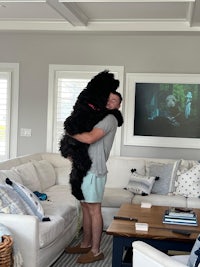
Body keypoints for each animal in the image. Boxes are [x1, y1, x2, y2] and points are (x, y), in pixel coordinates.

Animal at [59, 71, 122, 201]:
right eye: (111, 79)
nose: (118, 81)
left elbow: (106, 111)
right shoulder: (77, 122)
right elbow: (108, 111)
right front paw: (120, 117)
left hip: (79, 163)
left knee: (74, 177)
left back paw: (78, 194)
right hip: (82, 158)